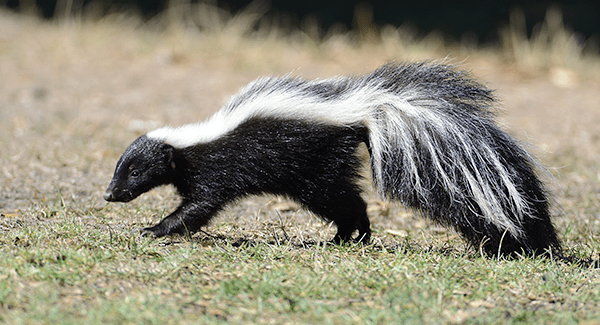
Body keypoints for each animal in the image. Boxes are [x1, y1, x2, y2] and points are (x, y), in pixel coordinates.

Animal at [104, 62, 564, 256]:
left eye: (134, 170)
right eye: (120, 169)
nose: (110, 194)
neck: (193, 141)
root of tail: (360, 109)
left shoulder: (216, 169)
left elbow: (199, 206)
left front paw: (155, 229)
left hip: (314, 168)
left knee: (346, 201)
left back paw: (354, 235)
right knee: (346, 200)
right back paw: (347, 237)